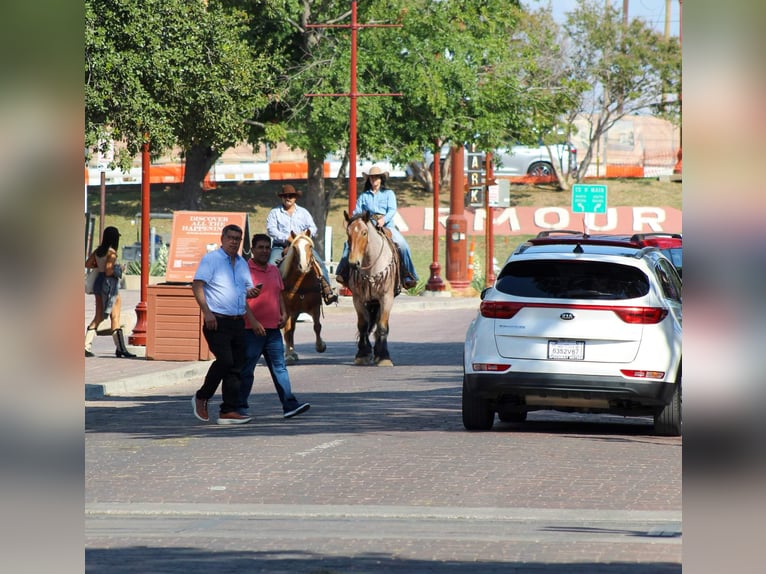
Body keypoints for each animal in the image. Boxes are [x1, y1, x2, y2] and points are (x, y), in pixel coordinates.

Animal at [280, 230, 328, 364]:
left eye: (310, 246)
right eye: (295, 248)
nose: (303, 266)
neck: (301, 282)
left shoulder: (315, 306)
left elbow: (317, 326)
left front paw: (320, 346)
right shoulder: (288, 310)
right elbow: (287, 331)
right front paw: (289, 355)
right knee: (288, 331)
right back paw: (290, 353)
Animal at [344, 212, 400, 368]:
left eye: (364, 233)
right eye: (348, 233)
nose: (353, 263)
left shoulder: (386, 298)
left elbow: (382, 326)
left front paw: (384, 357)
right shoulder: (358, 299)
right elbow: (363, 325)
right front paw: (362, 354)